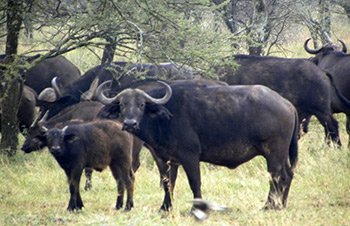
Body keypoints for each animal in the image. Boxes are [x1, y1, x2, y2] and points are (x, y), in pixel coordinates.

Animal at [98, 81, 298, 212]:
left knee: (276, 176)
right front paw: (165, 207)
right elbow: (168, 183)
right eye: (122, 105)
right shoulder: (167, 159)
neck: (165, 118)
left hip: (274, 152)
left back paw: (269, 206)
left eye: (141, 105)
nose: (130, 124)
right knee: (287, 175)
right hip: (280, 154)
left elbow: (195, 182)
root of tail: (287, 104)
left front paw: (197, 208)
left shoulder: (190, 157)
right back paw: (282, 205)